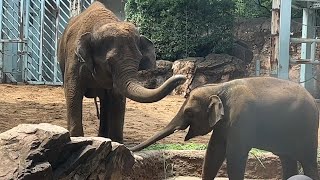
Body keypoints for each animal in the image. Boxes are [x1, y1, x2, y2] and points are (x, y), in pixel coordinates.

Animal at [58, 1, 186, 142]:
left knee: (105, 100)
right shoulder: (74, 60)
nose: (183, 78)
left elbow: (117, 96)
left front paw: (117, 142)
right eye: (109, 62)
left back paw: (103, 137)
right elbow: (73, 92)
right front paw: (76, 138)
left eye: (139, 60)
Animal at [130, 77, 320, 180]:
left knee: (308, 160)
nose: (130, 150)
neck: (219, 87)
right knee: (287, 159)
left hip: (307, 128)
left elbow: (234, 154)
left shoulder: (242, 117)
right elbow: (214, 151)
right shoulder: (224, 122)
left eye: (189, 112)